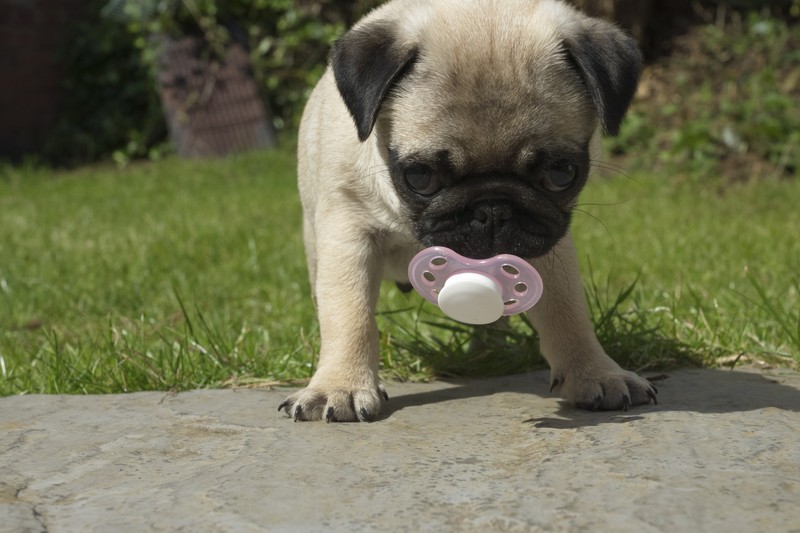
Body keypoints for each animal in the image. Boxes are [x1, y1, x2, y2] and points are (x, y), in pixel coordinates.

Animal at [280, 1, 656, 424]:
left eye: (561, 174)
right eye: (420, 176)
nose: (492, 209)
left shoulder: (548, 247)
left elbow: (568, 314)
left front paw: (596, 373)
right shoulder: (348, 234)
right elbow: (349, 315)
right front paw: (340, 386)